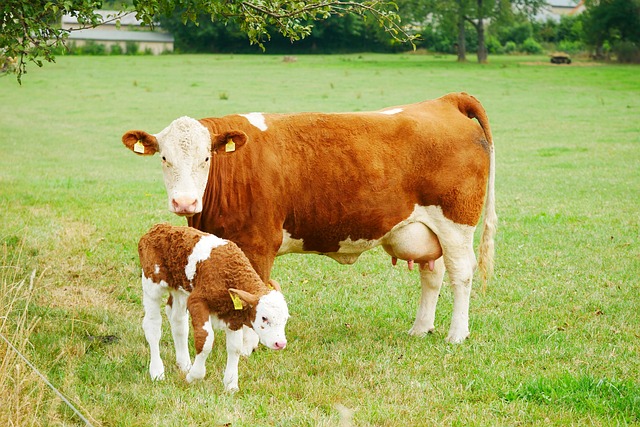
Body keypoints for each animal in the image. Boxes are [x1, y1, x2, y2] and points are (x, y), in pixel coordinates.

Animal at [124, 93, 496, 344]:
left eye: (205, 158)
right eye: (164, 158)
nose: (184, 201)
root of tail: (445, 101)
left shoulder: (259, 244)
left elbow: (255, 292)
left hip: (456, 223)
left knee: (461, 273)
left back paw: (456, 334)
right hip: (424, 229)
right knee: (432, 274)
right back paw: (420, 328)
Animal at [139, 224, 290, 394]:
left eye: (285, 319)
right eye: (264, 318)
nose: (280, 343)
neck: (230, 273)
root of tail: (159, 227)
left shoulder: (233, 316)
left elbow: (235, 347)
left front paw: (231, 384)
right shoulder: (197, 301)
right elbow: (205, 340)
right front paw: (194, 376)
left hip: (180, 289)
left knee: (178, 322)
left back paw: (184, 364)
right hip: (151, 284)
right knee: (152, 326)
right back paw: (157, 372)